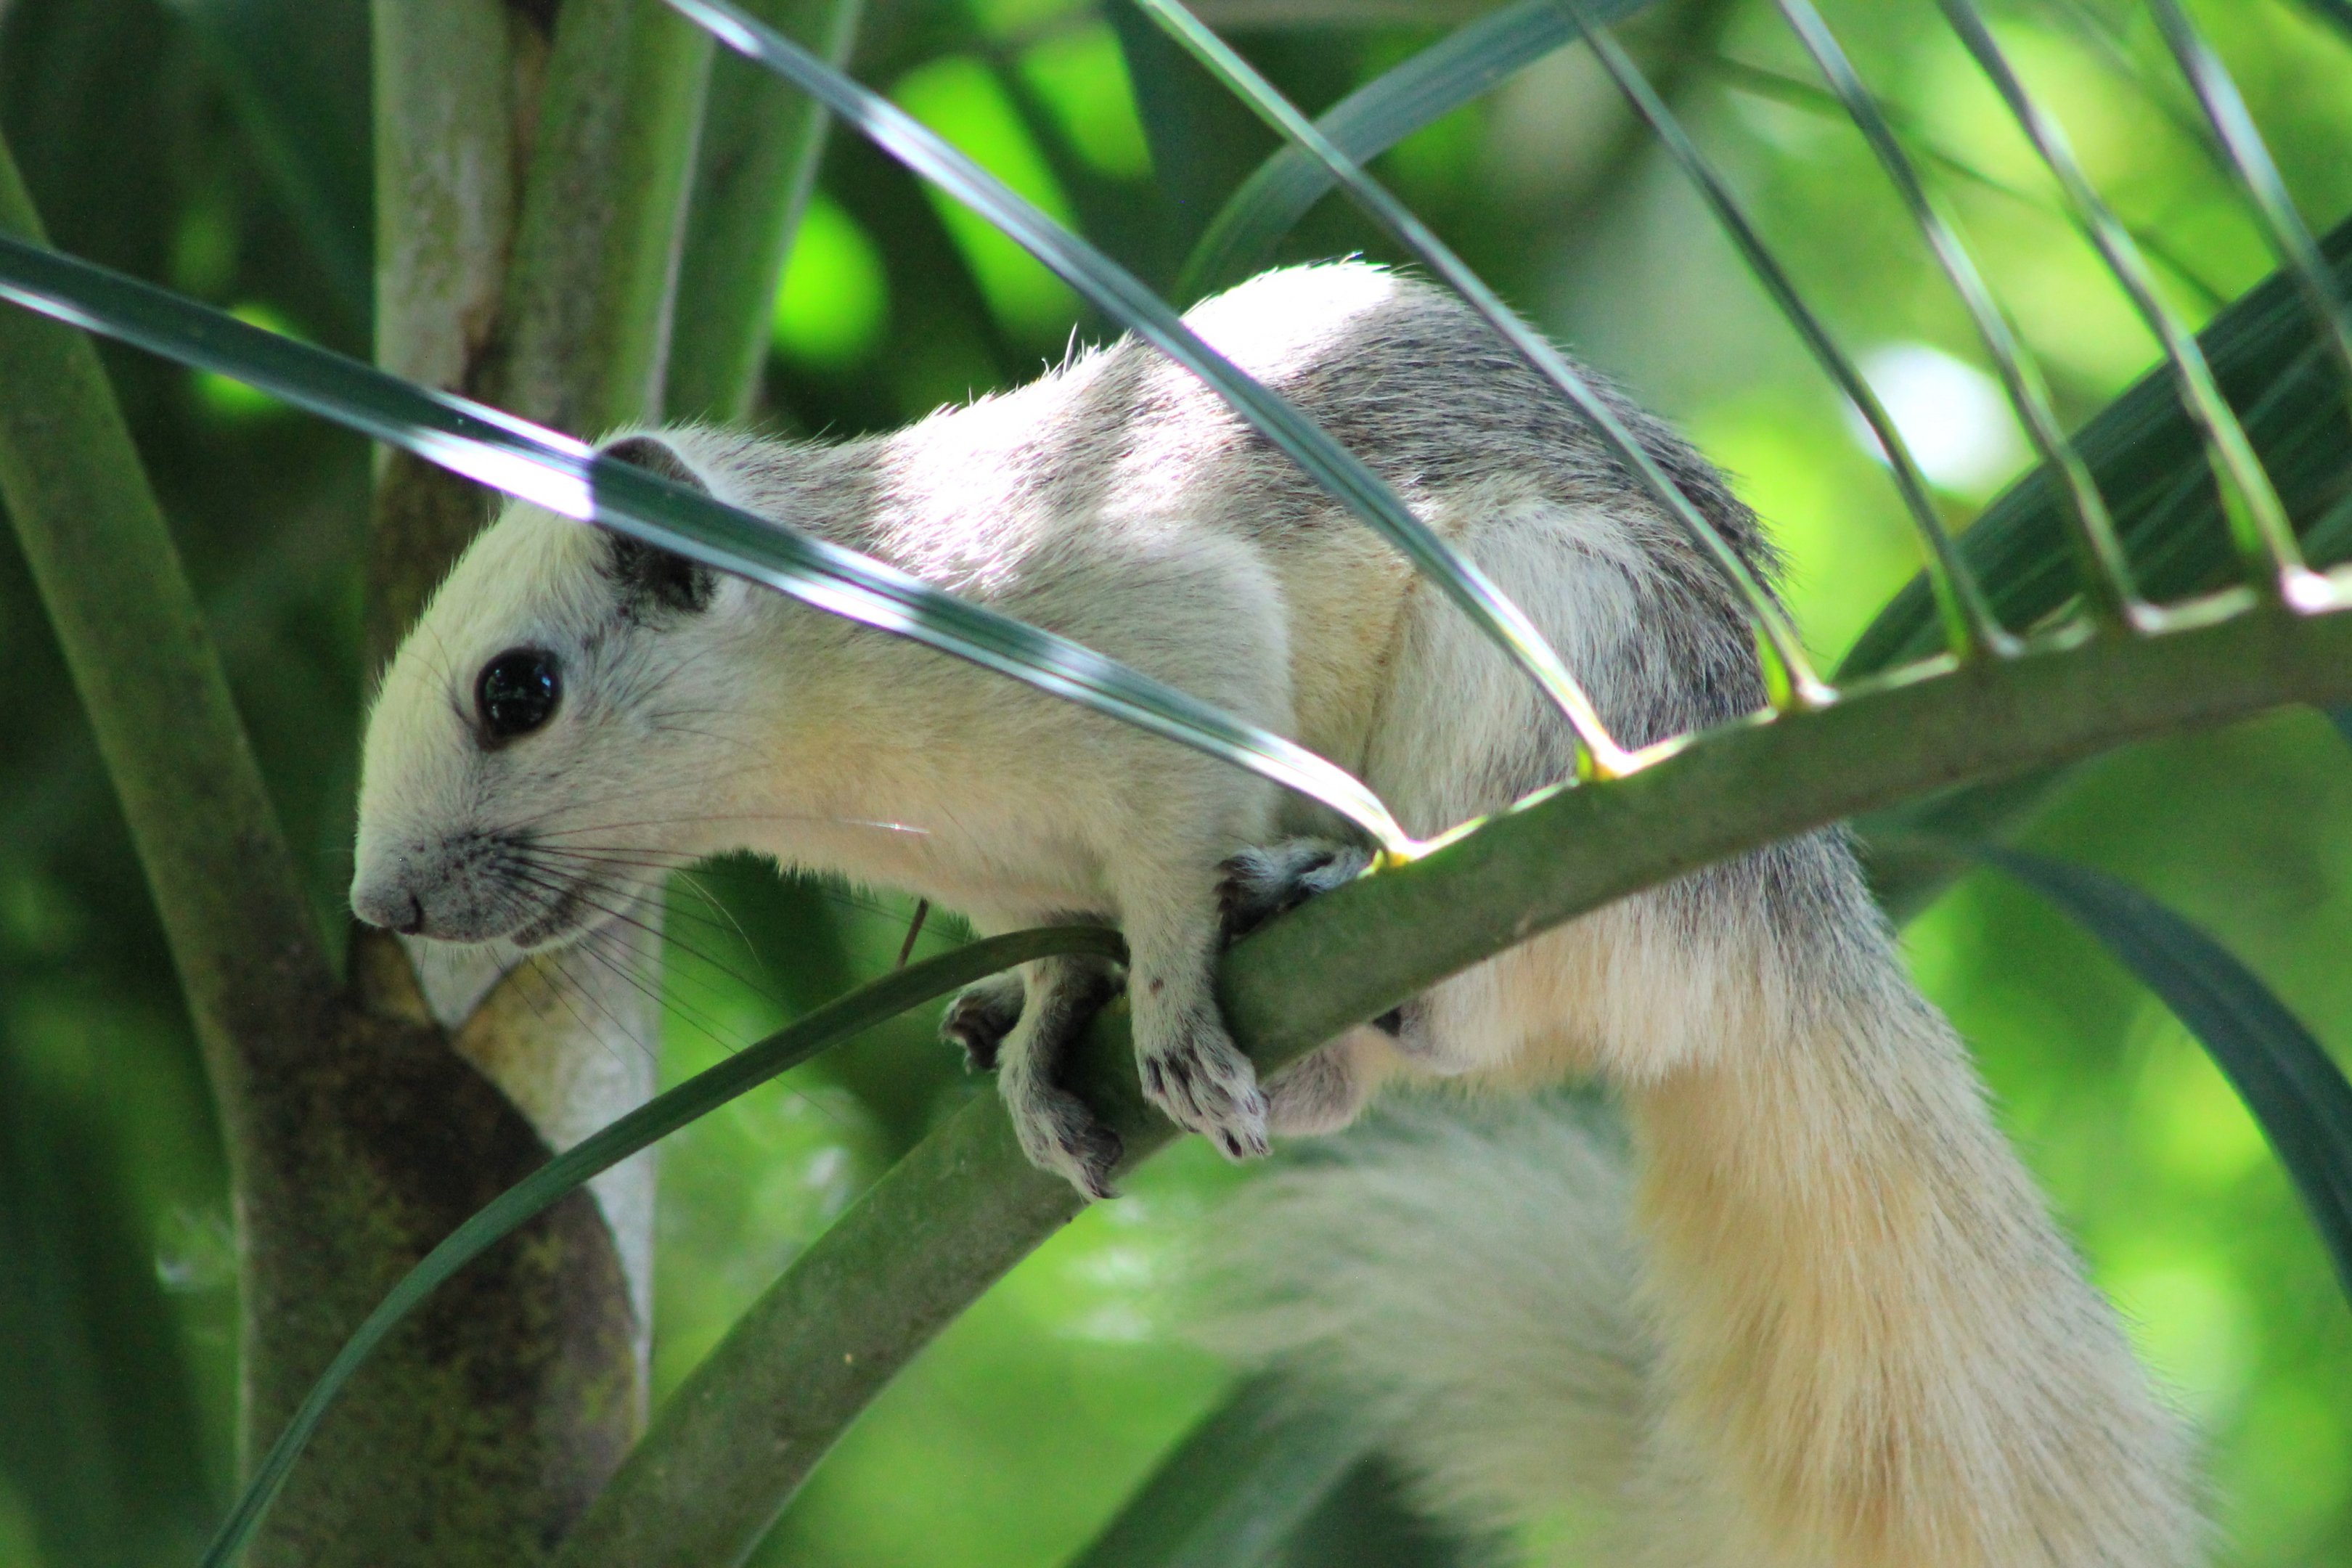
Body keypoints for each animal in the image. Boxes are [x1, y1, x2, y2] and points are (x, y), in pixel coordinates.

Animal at [350, 261, 2196, 1567]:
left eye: (519, 690)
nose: (379, 903)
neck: (846, 753)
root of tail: (1769, 910)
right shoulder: (1035, 871)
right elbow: (1081, 939)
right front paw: (1046, 1037)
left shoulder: (1137, 621)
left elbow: (1175, 838)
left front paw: (1168, 988)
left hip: (1539, 653)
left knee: (1478, 985)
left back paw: (1321, 904)